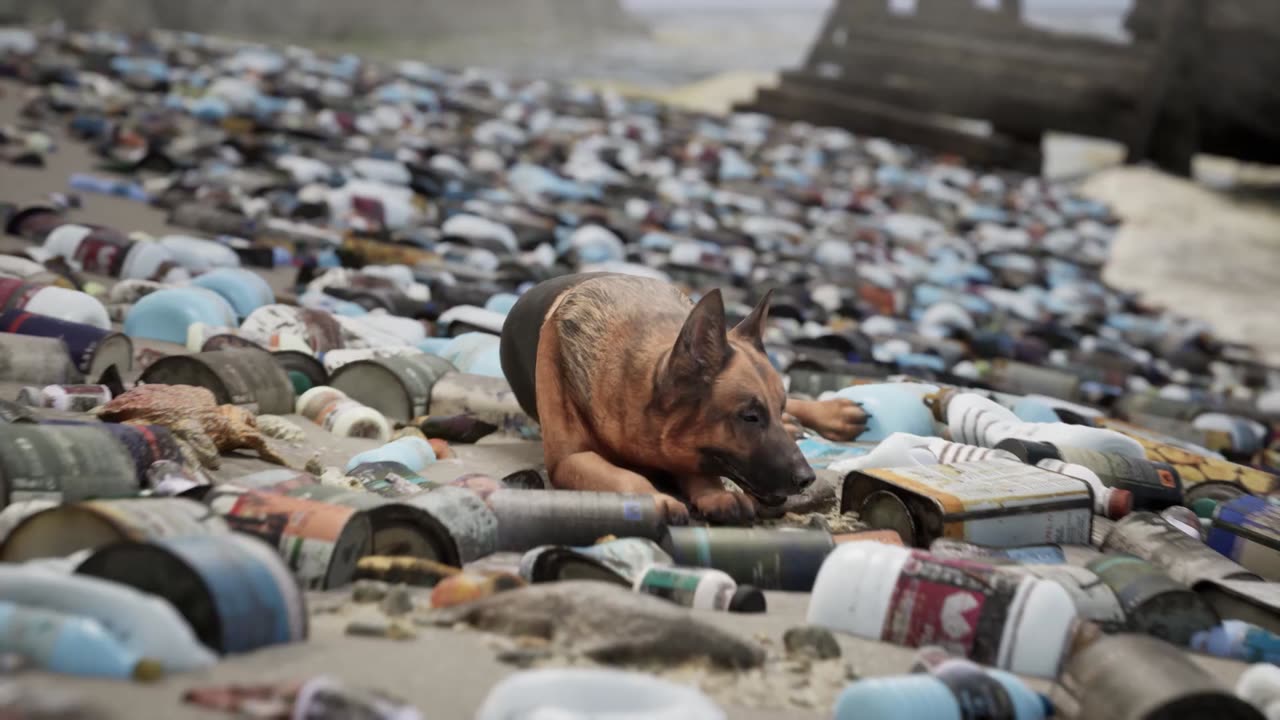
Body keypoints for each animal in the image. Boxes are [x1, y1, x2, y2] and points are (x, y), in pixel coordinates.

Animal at [500, 272, 865, 524]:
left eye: (775, 407)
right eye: (749, 417)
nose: (807, 479)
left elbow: (696, 466)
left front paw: (714, 493)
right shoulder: (569, 460)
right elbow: (626, 476)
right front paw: (656, 500)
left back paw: (829, 414)